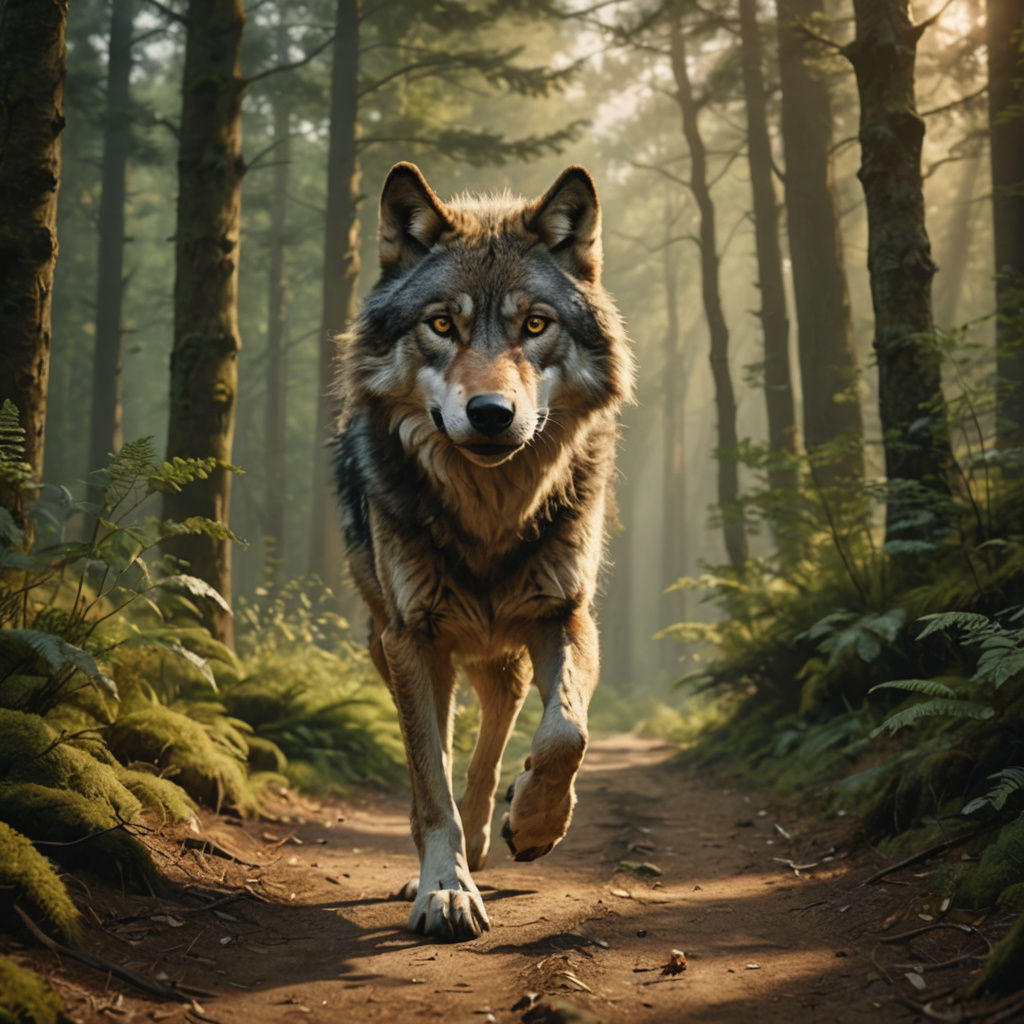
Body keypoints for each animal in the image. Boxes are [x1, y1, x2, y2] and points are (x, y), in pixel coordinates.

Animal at [332, 162, 633, 941]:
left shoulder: (566, 616)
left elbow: (566, 734)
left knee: (493, 743)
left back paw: (495, 830)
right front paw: (445, 889)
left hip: (504, 657)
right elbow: (428, 781)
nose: (492, 415)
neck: (491, 515)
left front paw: (536, 823)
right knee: (439, 764)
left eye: (535, 325)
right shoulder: (413, 639)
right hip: (392, 644)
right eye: (443, 324)